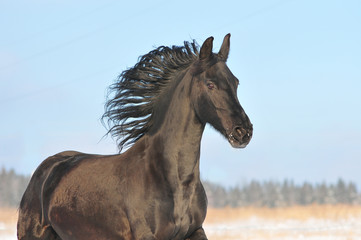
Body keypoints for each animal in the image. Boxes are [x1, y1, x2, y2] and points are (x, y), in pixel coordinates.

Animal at [16, 34, 252, 240]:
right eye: (210, 83)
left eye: (236, 82)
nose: (244, 132)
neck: (173, 182)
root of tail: (47, 169)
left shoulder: (195, 231)